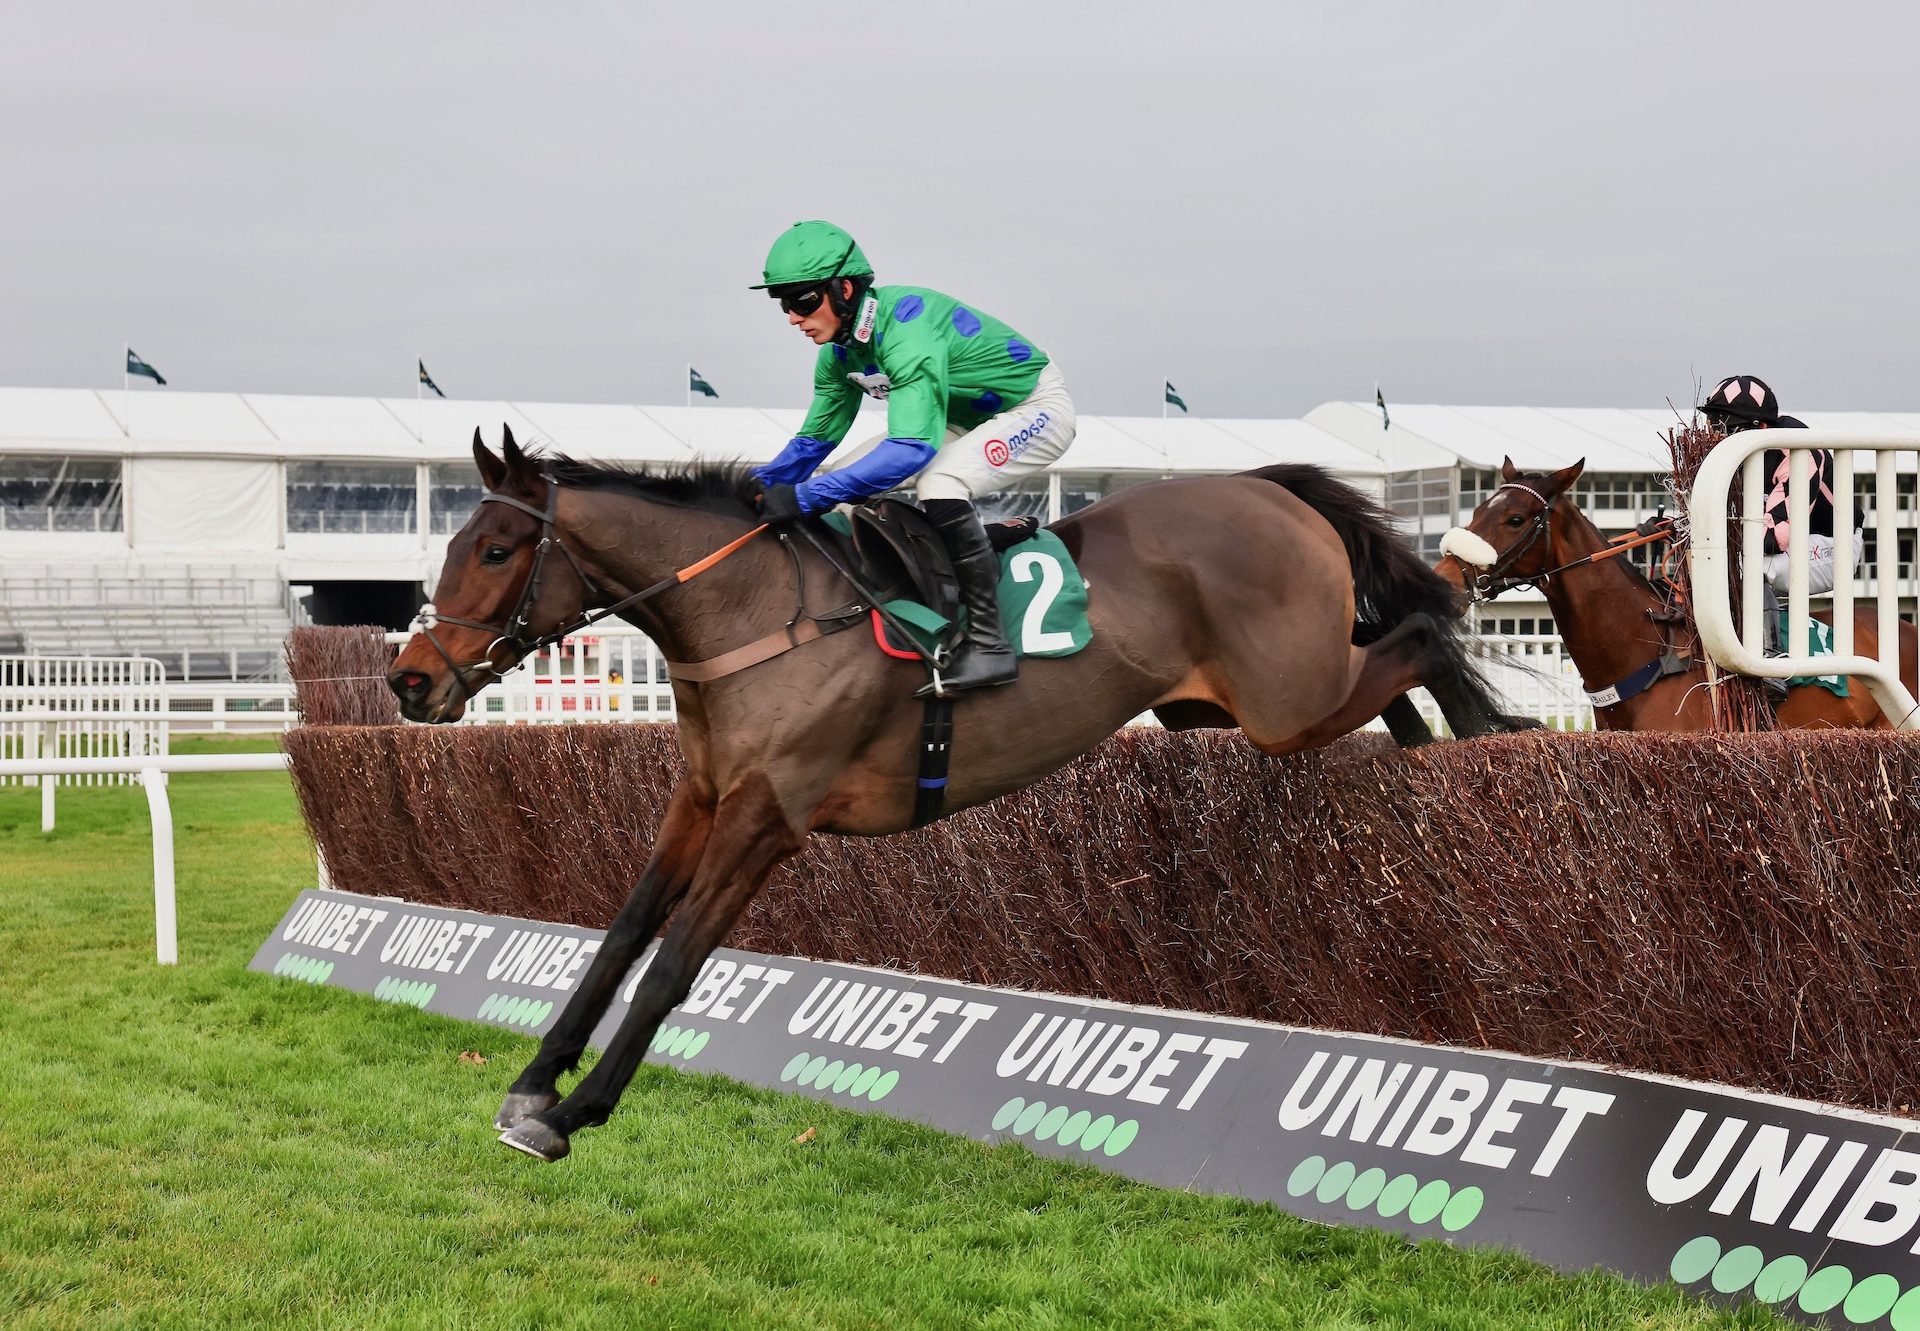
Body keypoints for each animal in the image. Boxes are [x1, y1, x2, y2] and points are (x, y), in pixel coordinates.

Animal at [393, 428, 1512, 1160]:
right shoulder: (703, 796)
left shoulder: (769, 817)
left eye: (496, 549)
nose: (410, 680)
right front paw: (533, 1082)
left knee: (1420, 629)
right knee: (1392, 682)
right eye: (448, 545)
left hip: (1287, 698)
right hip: (1230, 705)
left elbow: (673, 965)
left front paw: (571, 1113)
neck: (752, 614)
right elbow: (623, 931)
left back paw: (1487, 722)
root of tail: (1267, 485)